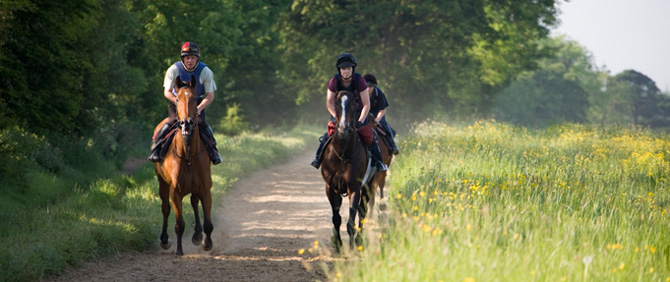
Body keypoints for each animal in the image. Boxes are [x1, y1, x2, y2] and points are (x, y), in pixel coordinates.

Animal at [154, 74, 214, 256]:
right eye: (177, 99)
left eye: (195, 98)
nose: (187, 123)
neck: (188, 155)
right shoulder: (175, 192)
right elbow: (179, 224)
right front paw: (179, 250)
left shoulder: (205, 189)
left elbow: (208, 223)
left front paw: (207, 244)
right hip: (162, 183)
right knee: (165, 208)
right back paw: (164, 240)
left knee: (194, 202)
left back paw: (197, 235)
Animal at [322, 90, 376, 251]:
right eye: (336, 103)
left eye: (353, 104)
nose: (343, 129)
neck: (343, 153)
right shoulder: (331, 188)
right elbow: (336, 218)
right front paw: (337, 244)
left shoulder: (354, 188)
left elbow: (352, 220)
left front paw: (351, 248)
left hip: (368, 185)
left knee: (362, 212)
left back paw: (359, 241)